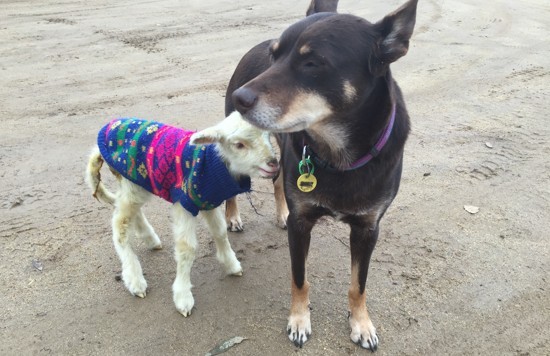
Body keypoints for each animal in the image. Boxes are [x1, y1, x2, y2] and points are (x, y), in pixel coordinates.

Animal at [86, 112, 280, 318]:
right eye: (239, 145)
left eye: (268, 136)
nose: (273, 164)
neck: (211, 164)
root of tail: (106, 129)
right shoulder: (185, 202)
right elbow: (187, 248)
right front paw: (183, 297)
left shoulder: (207, 201)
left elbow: (220, 232)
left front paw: (231, 264)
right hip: (131, 183)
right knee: (120, 226)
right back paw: (135, 280)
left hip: (137, 182)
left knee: (130, 212)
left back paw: (151, 240)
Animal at [224, 0, 418, 350]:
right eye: (275, 56)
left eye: (313, 62)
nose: (239, 99)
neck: (337, 155)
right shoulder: (302, 225)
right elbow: (300, 279)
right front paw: (299, 321)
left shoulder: (368, 228)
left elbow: (358, 284)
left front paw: (361, 323)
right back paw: (232, 217)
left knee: (278, 179)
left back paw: (280, 212)